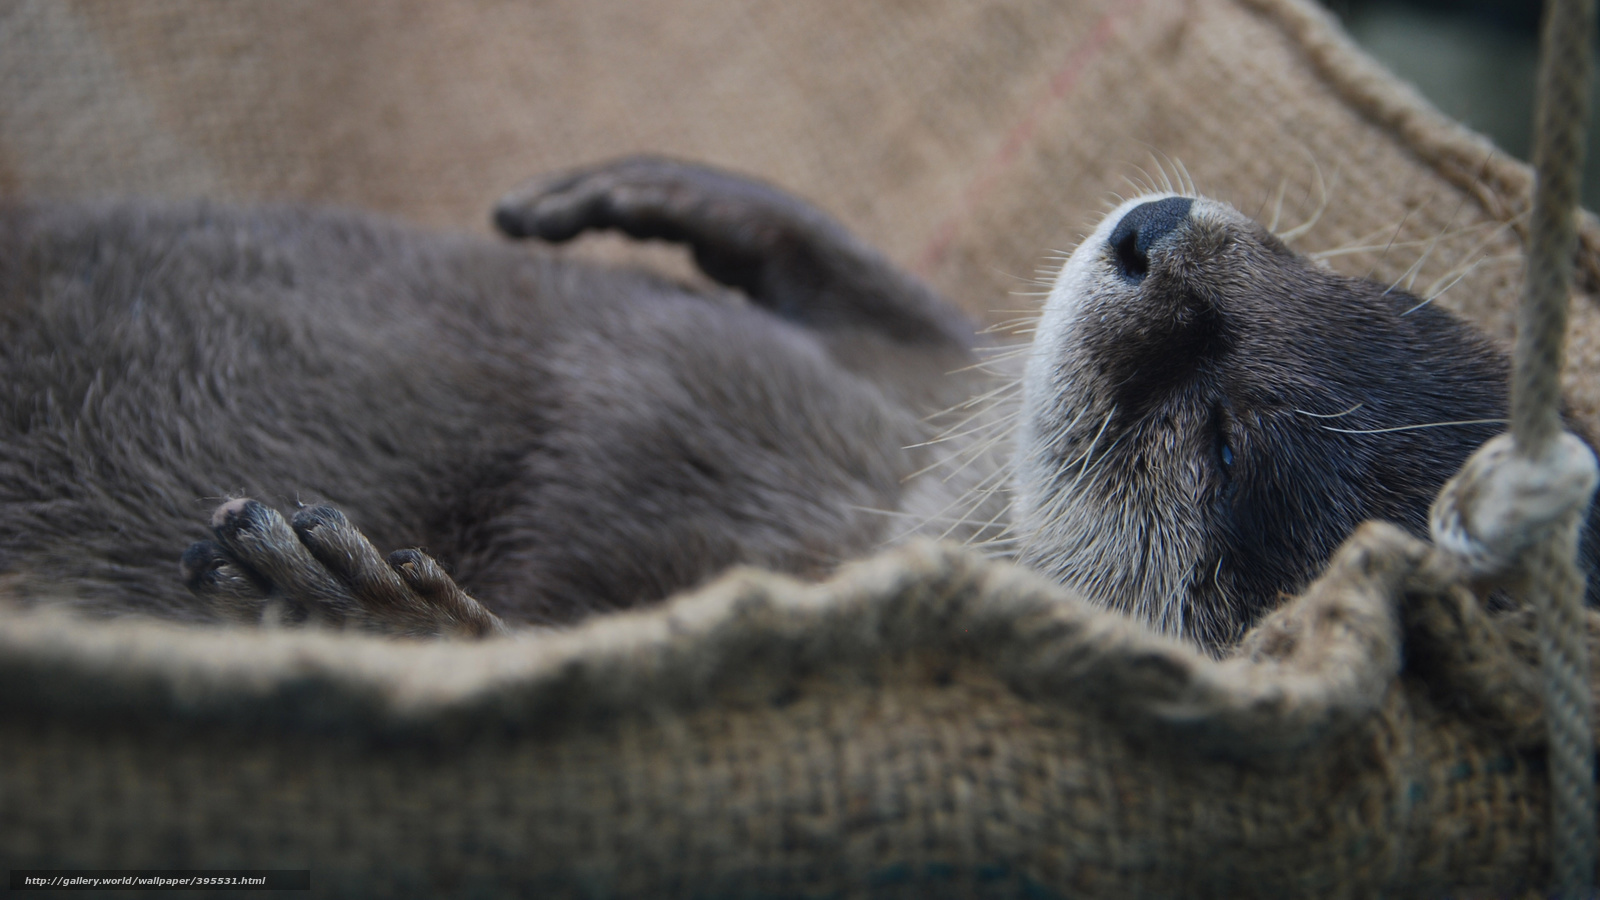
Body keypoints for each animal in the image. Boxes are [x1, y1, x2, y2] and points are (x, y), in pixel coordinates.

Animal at [0, 157, 1593, 648]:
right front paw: (689, 200)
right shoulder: (895, 415)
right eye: (1317, 268)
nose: (1155, 235)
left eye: (1221, 438)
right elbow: (911, 330)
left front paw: (365, 611)